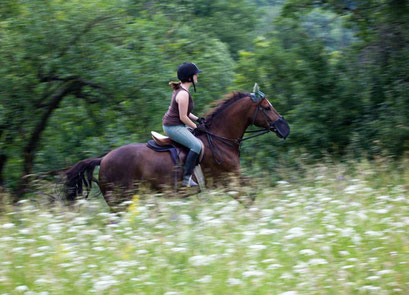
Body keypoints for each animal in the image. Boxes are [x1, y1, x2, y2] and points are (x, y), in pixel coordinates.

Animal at [63, 89, 288, 207]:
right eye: (267, 107)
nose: (285, 128)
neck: (220, 140)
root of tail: (103, 159)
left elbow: (252, 191)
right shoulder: (227, 180)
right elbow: (250, 193)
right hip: (120, 200)